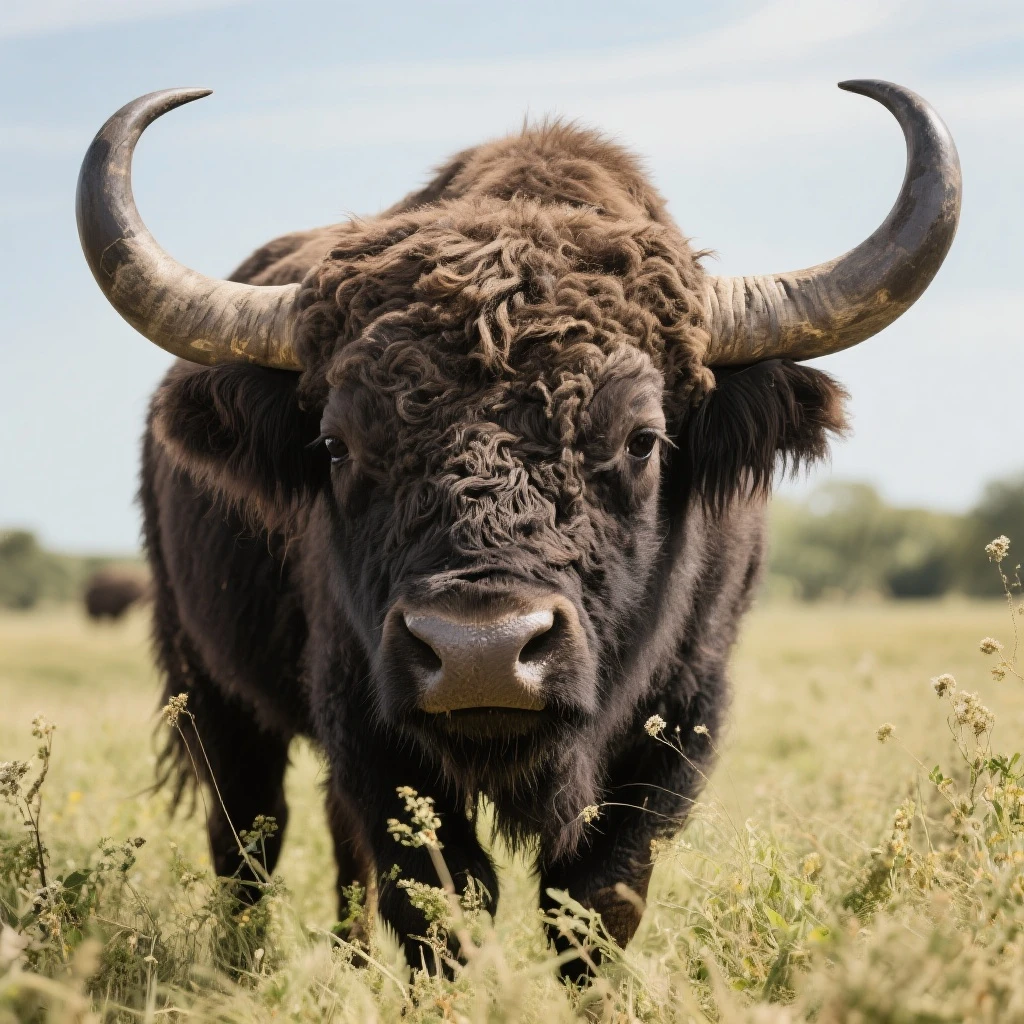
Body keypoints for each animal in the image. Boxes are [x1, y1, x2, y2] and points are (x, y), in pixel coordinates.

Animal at [77, 81, 960, 974]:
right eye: (337, 445)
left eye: (642, 438)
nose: (481, 653)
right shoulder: (366, 719)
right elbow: (437, 904)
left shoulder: (678, 721)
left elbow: (597, 901)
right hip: (210, 690)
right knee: (248, 839)